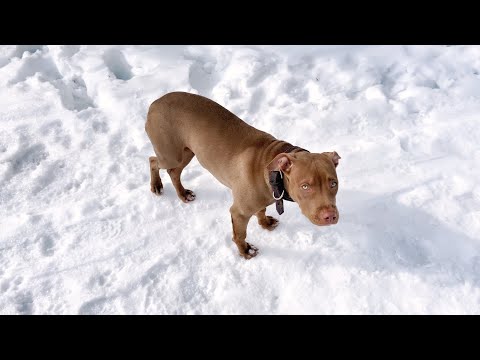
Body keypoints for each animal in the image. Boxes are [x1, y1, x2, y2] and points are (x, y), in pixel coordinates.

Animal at [144, 90, 340, 258]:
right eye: (305, 186)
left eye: (333, 184)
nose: (330, 216)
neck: (273, 172)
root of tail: (155, 103)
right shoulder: (239, 212)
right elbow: (240, 234)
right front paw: (245, 251)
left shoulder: (263, 199)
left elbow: (261, 211)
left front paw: (265, 223)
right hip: (170, 154)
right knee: (153, 161)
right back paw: (156, 185)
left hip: (187, 152)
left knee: (173, 172)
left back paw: (183, 194)